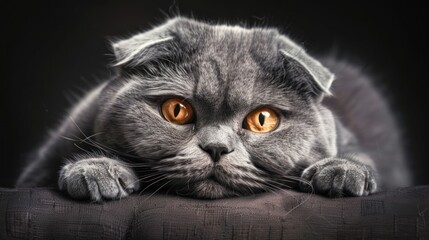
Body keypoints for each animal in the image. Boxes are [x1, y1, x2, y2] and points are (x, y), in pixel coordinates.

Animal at [15, 16, 412, 201]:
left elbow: (361, 158)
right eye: (176, 110)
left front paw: (341, 172)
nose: (216, 148)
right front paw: (96, 171)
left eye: (263, 119)